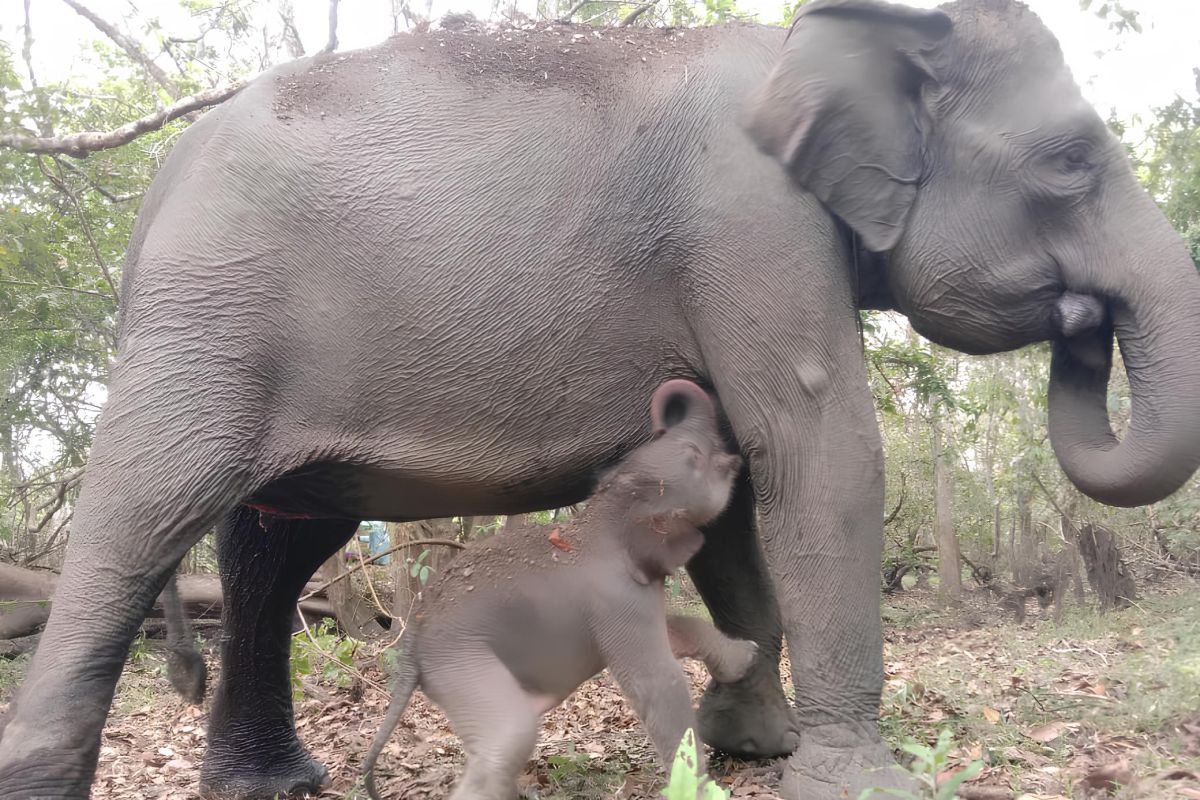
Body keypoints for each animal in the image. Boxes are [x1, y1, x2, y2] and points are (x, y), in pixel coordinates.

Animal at [364, 381, 753, 800]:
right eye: (693, 456)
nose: (670, 400)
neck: (602, 515)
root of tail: (412, 639)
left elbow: (676, 629)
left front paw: (747, 655)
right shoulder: (614, 599)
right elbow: (657, 681)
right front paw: (703, 790)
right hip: (459, 660)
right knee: (509, 735)